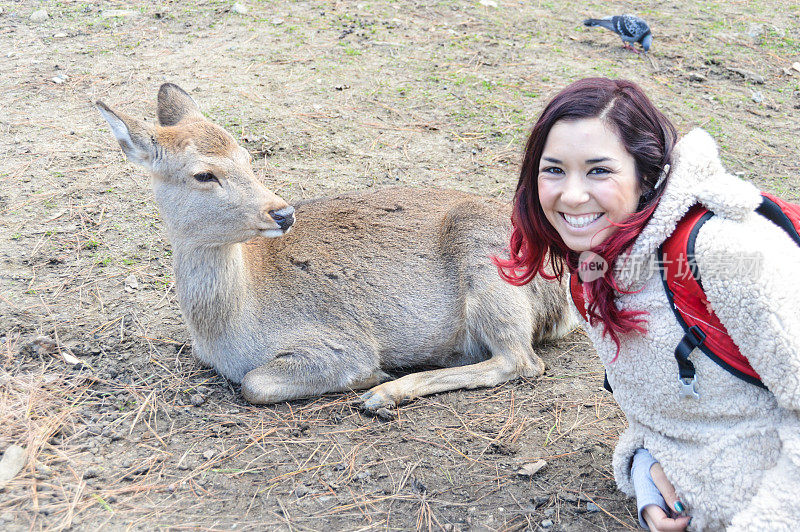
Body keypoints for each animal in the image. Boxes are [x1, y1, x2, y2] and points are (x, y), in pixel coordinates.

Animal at [97, 84, 580, 412]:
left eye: (248, 157)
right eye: (203, 174)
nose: (283, 213)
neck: (226, 330)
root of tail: (563, 297)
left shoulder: (338, 341)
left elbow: (256, 383)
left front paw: (371, 375)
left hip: (490, 266)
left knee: (520, 359)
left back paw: (385, 392)